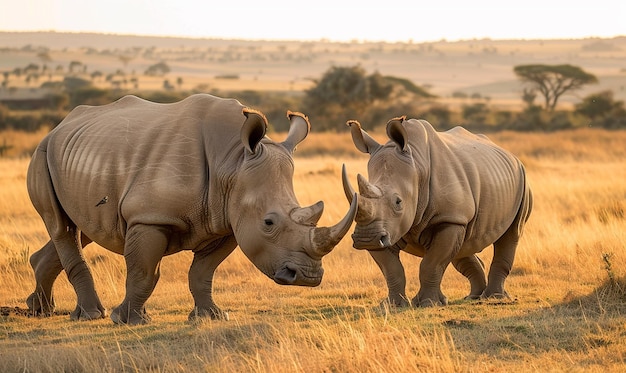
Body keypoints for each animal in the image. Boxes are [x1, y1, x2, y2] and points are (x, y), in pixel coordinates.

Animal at [26, 93, 356, 322]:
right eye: (269, 223)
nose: (308, 277)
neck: (232, 161)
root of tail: (58, 127)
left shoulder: (227, 223)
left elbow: (203, 271)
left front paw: (212, 316)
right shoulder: (150, 217)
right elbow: (143, 272)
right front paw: (129, 320)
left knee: (81, 228)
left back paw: (39, 309)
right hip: (42, 152)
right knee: (61, 227)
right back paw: (92, 315)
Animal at [342, 117, 532, 308]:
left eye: (398, 202)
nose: (365, 238)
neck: (418, 167)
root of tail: (511, 155)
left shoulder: (448, 219)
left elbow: (432, 263)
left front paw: (428, 303)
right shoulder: (386, 228)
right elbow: (392, 269)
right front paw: (393, 305)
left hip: (522, 182)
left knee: (511, 234)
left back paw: (494, 298)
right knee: (464, 245)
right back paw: (474, 297)